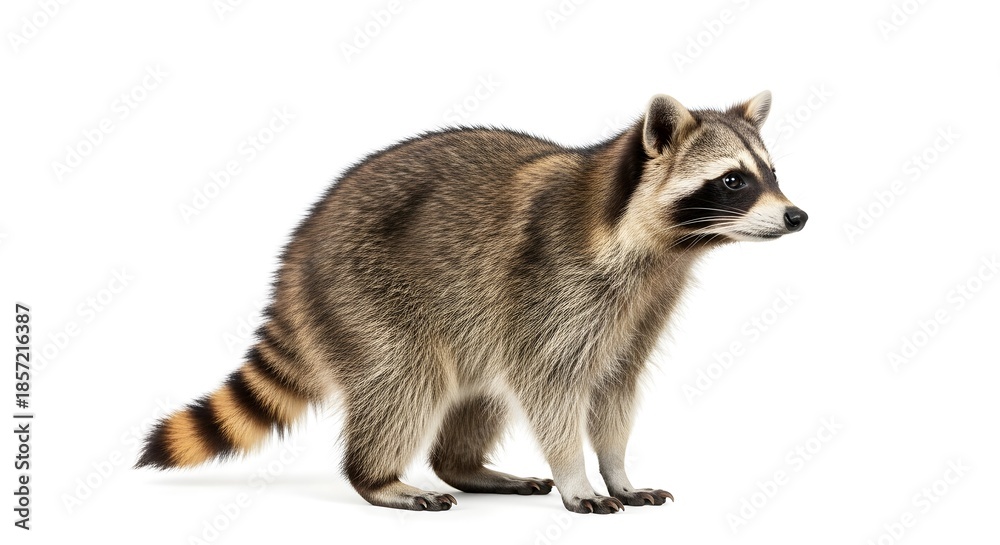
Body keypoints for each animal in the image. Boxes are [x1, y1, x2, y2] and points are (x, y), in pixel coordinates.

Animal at [137, 91, 807, 514]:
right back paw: (378, 478)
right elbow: (548, 387)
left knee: (477, 389)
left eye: (771, 173)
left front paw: (618, 469)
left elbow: (615, 390)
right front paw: (577, 474)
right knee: (404, 380)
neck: (662, 248)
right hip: (367, 296)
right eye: (733, 181)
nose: (797, 216)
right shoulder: (556, 285)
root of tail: (298, 254)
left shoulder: (640, 308)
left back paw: (462, 465)